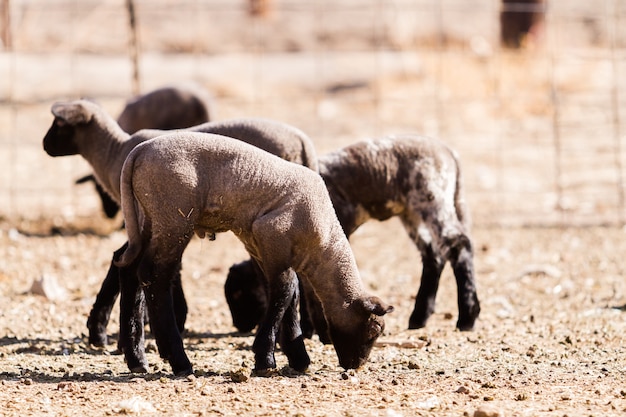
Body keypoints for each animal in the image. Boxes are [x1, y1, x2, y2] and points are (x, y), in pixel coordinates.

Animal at [40, 99, 316, 346]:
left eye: (59, 124)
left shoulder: (153, 218)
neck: (113, 153)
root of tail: (303, 141)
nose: (44, 145)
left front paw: (104, 328)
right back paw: (307, 329)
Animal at [112, 132, 390, 376]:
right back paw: (178, 360)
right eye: (373, 331)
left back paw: (137, 358)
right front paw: (266, 359)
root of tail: (138, 152)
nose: (355, 366)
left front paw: (297, 357)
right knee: (155, 277)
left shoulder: (258, 245)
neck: (323, 245)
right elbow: (284, 292)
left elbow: (289, 295)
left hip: (148, 218)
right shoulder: (273, 235)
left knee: (129, 268)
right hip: (174, 217)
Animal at [224, 135, 478, 340]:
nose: (239, 325)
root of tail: (448, 152)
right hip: (412, 211)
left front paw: (316, 330)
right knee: (433, 255)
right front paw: (309, 329)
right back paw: (419, 318)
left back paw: (467, 317)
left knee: (459, 246)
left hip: (432, 197)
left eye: (238, 294)